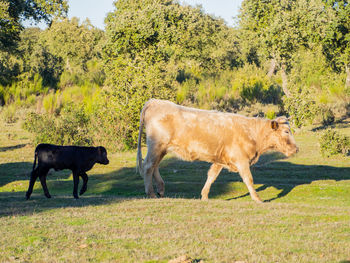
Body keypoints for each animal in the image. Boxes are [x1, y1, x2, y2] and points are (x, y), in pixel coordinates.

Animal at [136, 99, 298, 204]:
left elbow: (211, 176)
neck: (252, 133)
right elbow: (248, 179)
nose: (296, 149)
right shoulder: (242, 160)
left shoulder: (220, 160)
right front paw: (257, 199)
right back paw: (151, 193)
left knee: (155, 166)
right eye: (286, 131)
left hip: (161, 149)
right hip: (156, 145)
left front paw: (204, 196)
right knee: (148, 166)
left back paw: (161, 189)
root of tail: (155, 101)